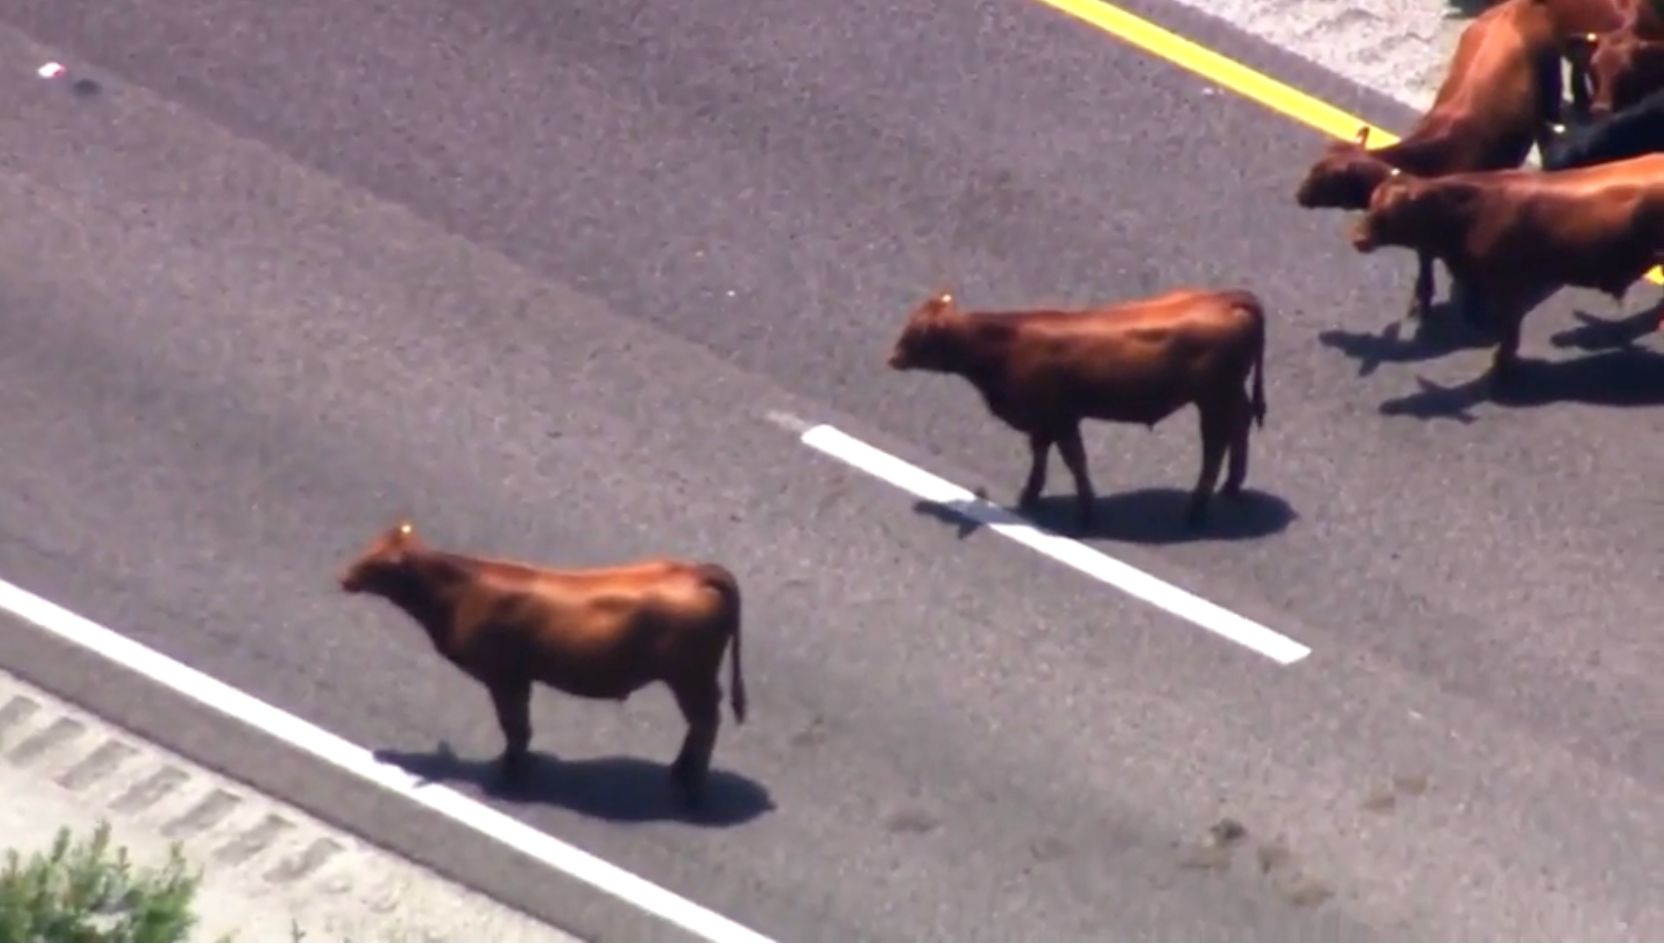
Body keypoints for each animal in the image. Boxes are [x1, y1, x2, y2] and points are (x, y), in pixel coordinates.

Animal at [337, 519, 748, 811]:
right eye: (370, 546)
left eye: (376, 563)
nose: (343, 576)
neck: (459, 592)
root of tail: (698, 571)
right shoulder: (518, 678)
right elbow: (520, 726)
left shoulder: (505, 677)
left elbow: (515, 727)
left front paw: (509, 774)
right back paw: (680, 774)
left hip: (689, 676)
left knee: (705, 723)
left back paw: (690, 789)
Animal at [891, 286, 1264, 532]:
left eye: (914, 334)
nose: (891, 358)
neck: (1006, 343)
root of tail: (1227, 296)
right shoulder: (1044, 419)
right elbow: (1043, 453)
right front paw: (1031, 493)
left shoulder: (1060, 417)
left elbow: (1074, 460)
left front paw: (1086, 513)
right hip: (1227, 394)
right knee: (1240, 427)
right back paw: (1231, 486)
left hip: (1214, 397)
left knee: (1215, 446)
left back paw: (1197, 510)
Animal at [1291, 0, 1564, 322]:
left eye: (1325, 177)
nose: (1299, 195)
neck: (1430, 160)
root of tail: (1516, 7)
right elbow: (1425, 256)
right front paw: (1421, 299)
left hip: (1551, 96)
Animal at [1344, 156, 1664, 382]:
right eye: (1372, 202)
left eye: (1391, 212)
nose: (1357, 237)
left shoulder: (1510, 286)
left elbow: (1509, 332)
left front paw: (1502, 368)